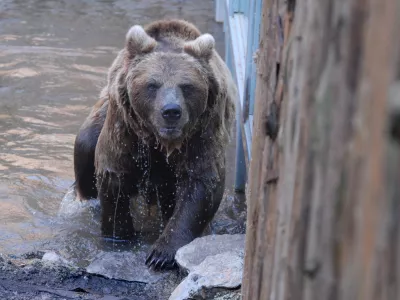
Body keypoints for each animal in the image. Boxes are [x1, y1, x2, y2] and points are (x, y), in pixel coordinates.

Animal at [72, 19, 234, 270]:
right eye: (152, 85)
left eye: (186, 85)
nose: (171, 111)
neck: (162, 141)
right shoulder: (125, 127)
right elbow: (114, 176)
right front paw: (119, 237)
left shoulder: (203, 131)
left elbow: (201, 183)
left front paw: (160, 254)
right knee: (85, 145)